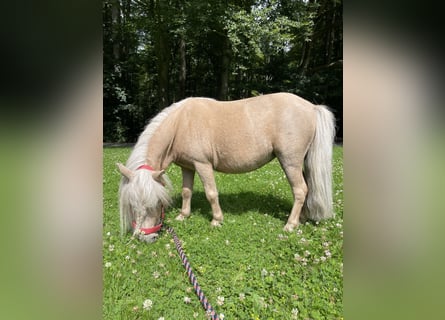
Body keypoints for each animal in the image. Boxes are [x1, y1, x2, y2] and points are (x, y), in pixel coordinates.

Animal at [117, 92, 332, 242]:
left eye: (156, 203)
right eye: (132, 204)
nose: (145, 237)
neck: (181, 124)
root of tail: (311, 107)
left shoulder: (202, 164)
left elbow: (211, 193)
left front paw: (216, 220)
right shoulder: (187, 166)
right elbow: (187, 192)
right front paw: (183, 216)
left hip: (289, 161)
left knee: (300, 190)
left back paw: (290, 224)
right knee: (307, 187)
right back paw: (302, 218)